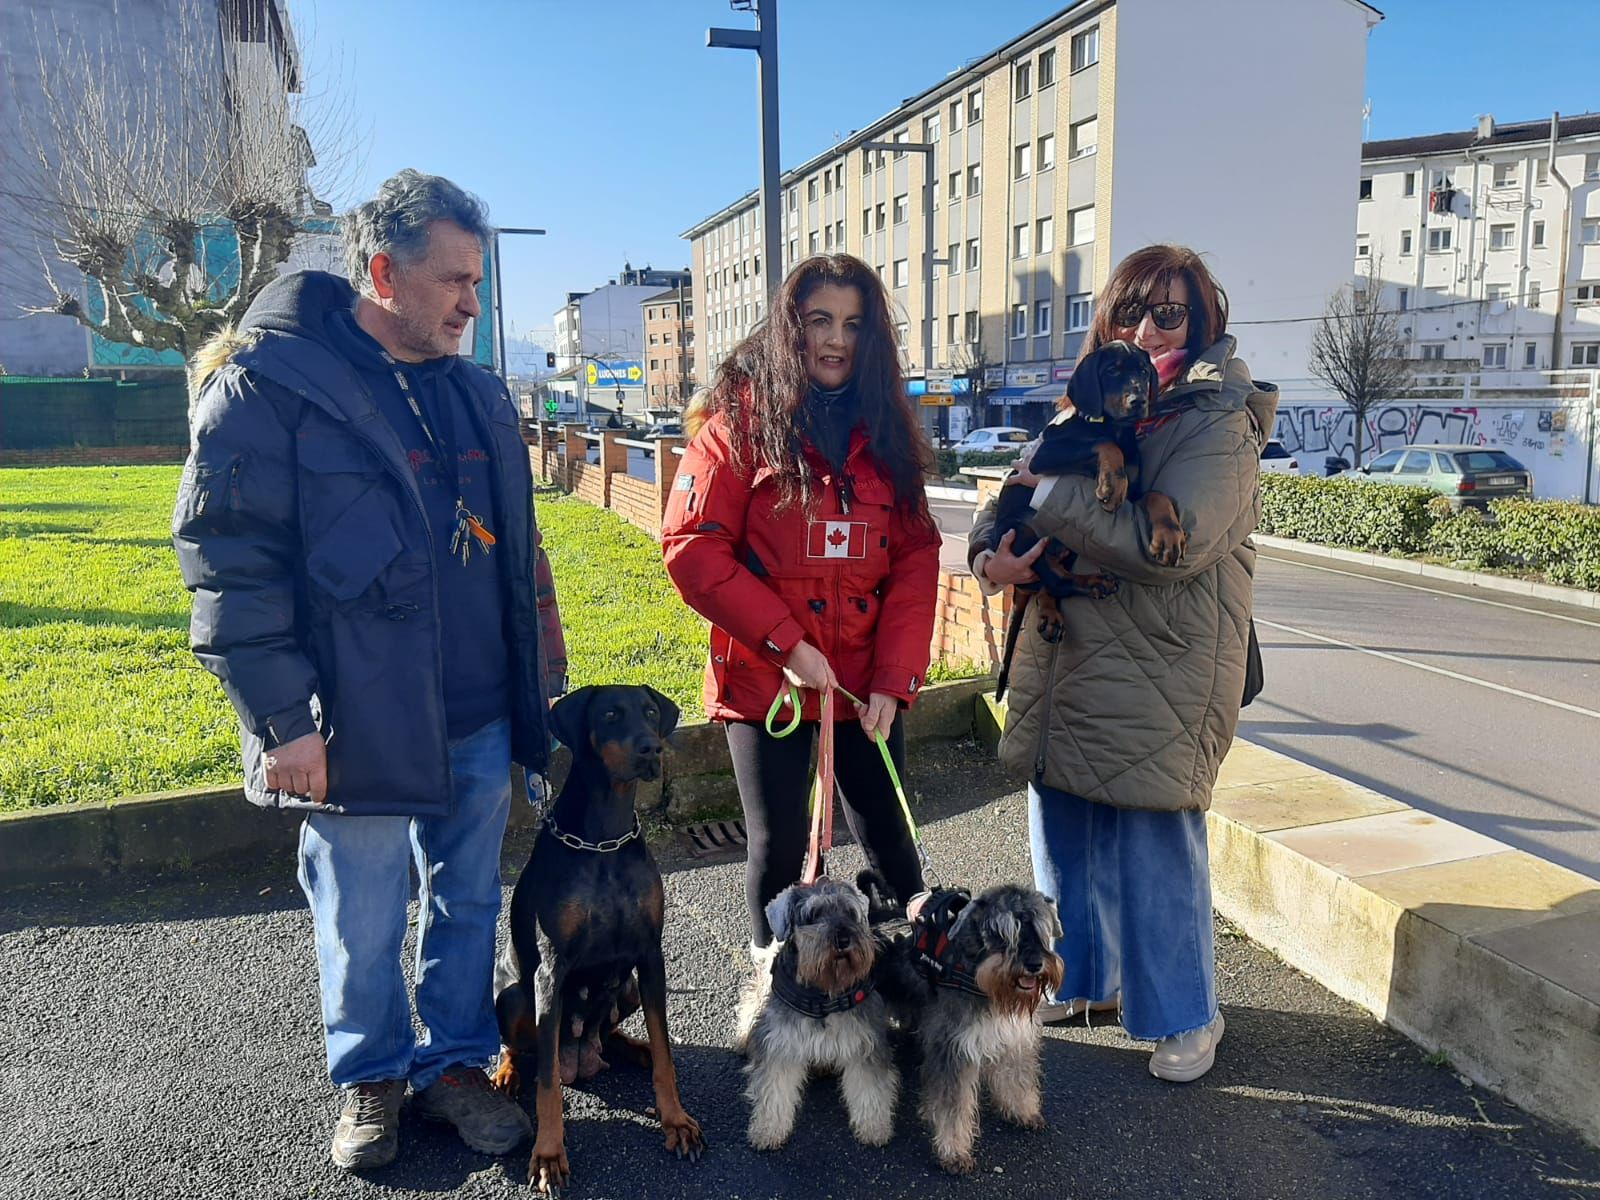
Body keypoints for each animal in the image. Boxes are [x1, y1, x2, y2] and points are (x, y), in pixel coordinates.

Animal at [489, 691, 704, 1196]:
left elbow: (666, 1052)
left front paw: (676, 1121)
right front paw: (549, 1156)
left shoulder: (649, 956)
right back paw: (506, 1073)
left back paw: (635, 1048)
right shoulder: (551, 971)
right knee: (520, 1047)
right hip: (514, 996)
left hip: (626, 988)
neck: (605, 838)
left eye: (650, 713)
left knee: (611, 1035)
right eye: (609, 714)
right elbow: (548, 1083)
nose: (652, 749)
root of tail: (582, 1060)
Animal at [739, 876, 902, 1152]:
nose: (844, 939)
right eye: (813, 914)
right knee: (752, 999)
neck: (823, 991)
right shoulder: (780, 1046)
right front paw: (768, 1130)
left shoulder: (864, 1043)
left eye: (850, 913)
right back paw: (742, 1036)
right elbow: (774, 1091)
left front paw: (874, 1128)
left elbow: (870, 1090)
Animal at [876, 883, 1062, 1177]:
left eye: (1040, 929)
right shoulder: (952, 1050)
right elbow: (952, 1107)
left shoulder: (1013, 1038)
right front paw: (954, 1152)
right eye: (1001, 933)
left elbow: (1017, 1079)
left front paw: (1022, 1110)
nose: (1034, 964)